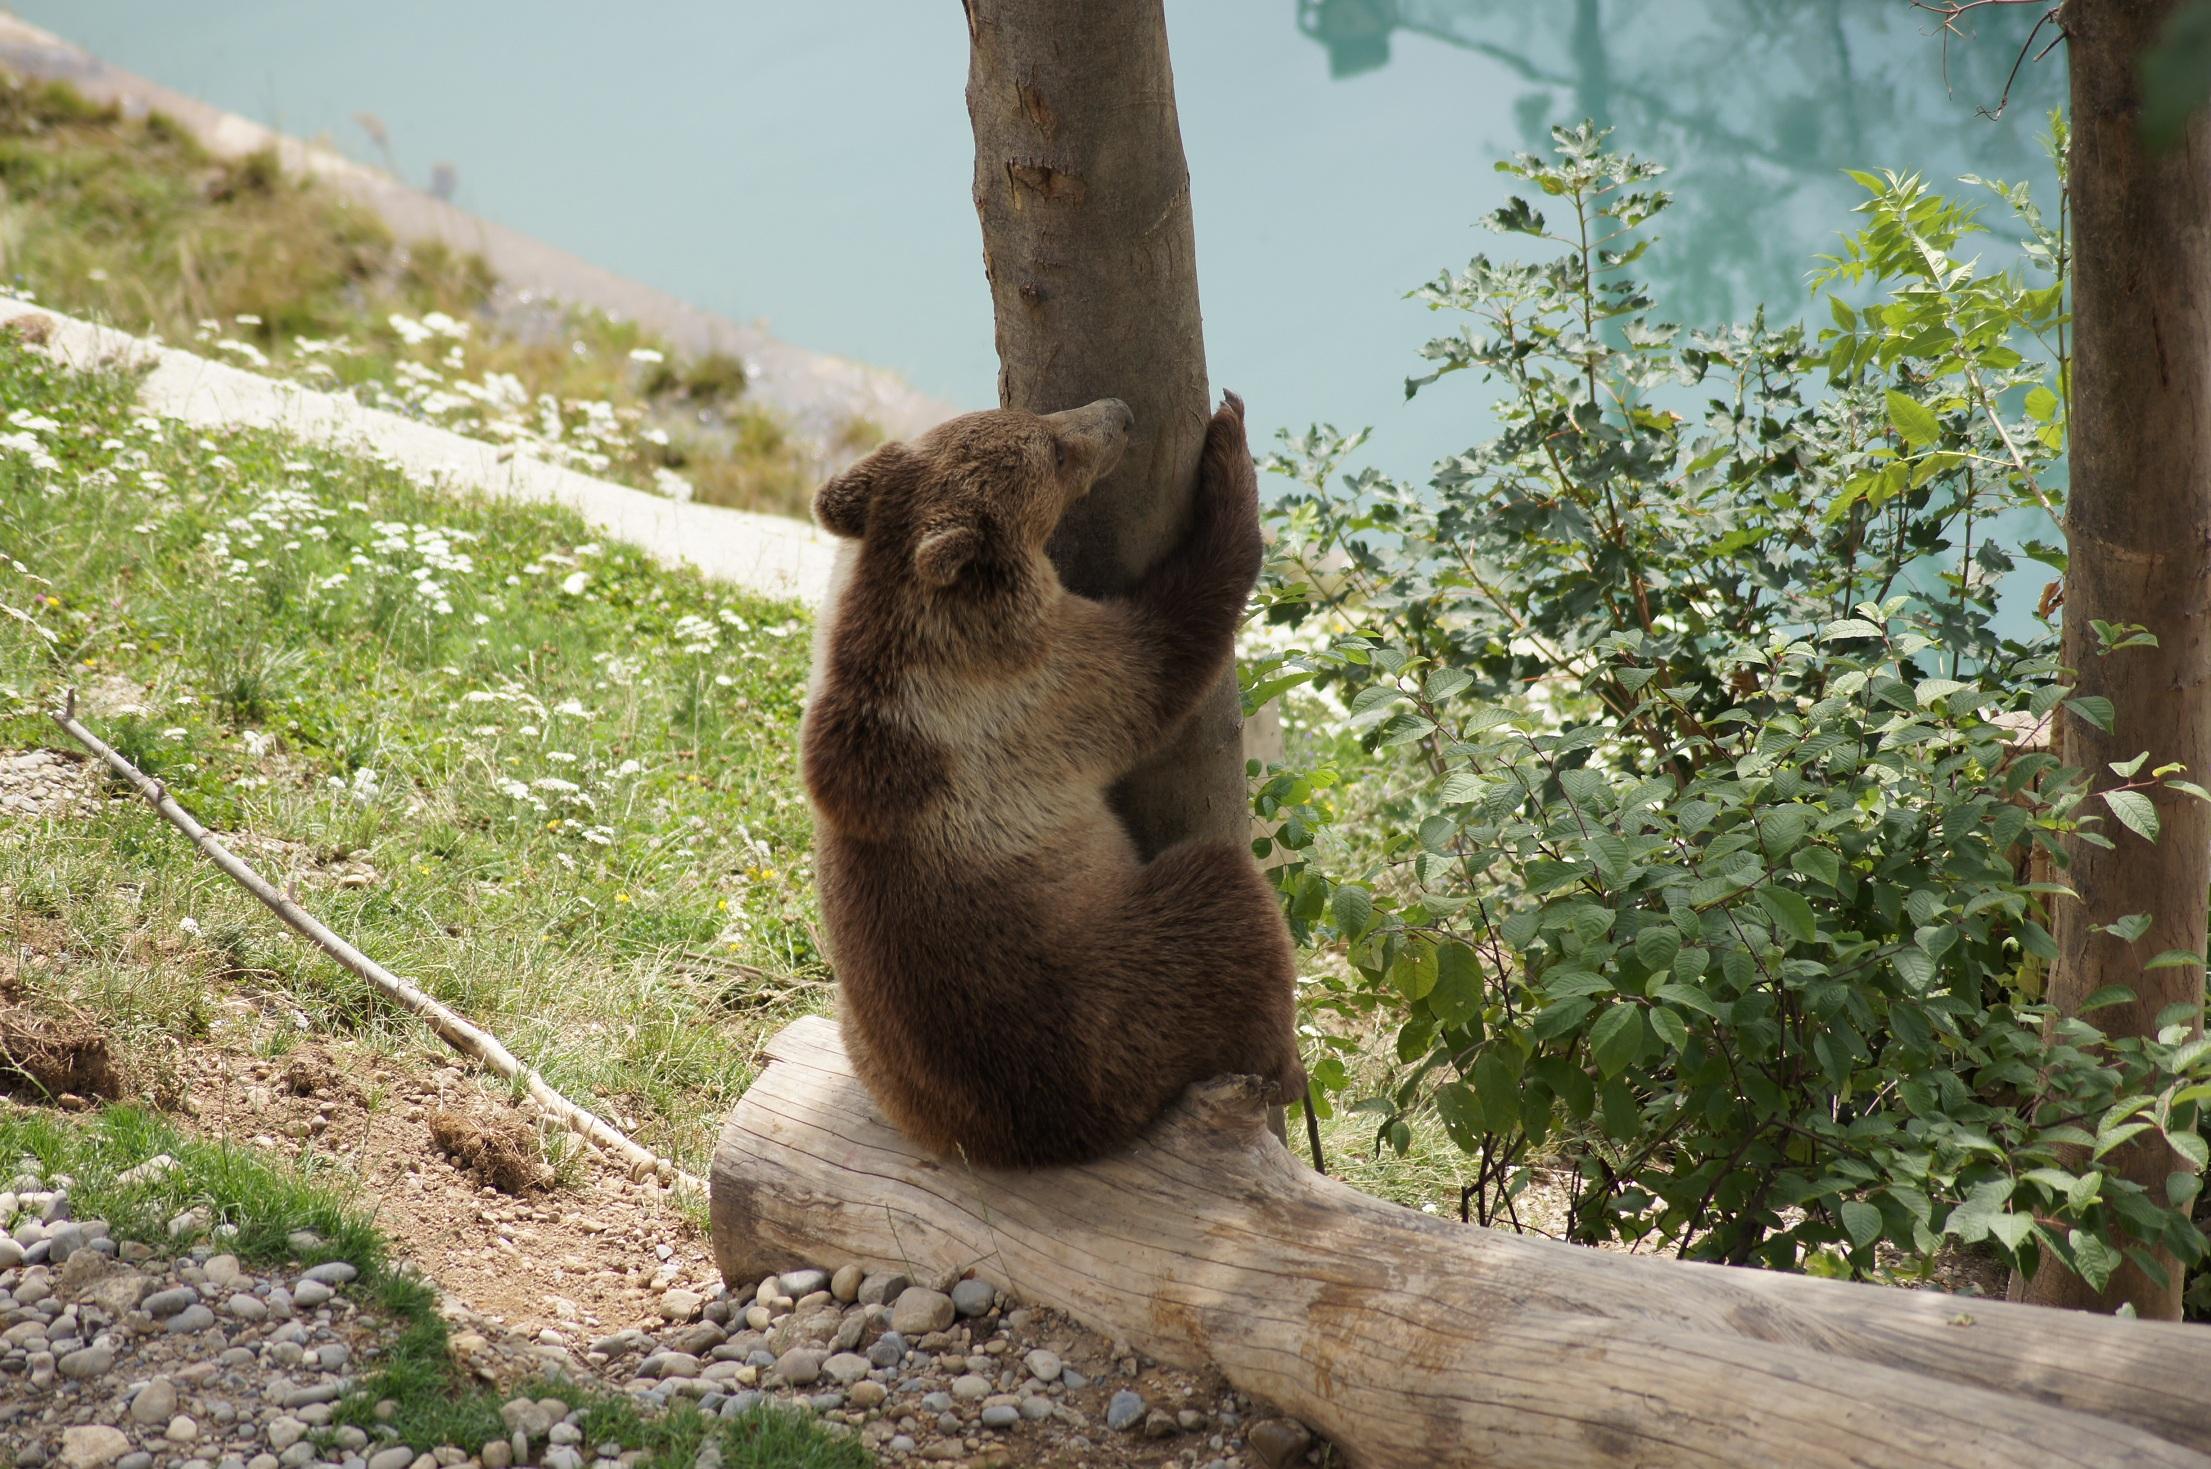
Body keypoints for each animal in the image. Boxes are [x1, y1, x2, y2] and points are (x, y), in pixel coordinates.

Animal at [800, 389, 1300, 1168]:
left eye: (1035, 419)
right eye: (1055, 451)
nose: (1118, 412)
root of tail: (1024, 1140)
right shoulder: (1043, 687)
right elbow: (1166, 645)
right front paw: (1230, 448)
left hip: (877, 1044)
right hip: (1102, 1001)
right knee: (1224, 906)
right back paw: (1285, 1061)